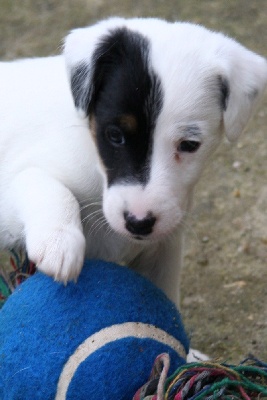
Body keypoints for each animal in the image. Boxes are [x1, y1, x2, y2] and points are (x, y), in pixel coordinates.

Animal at [0, 18, 267, 306]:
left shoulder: (163, 252)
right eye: (115, 135)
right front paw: (59, 240)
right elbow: (46, 185)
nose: (139, 223)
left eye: (189, 145)